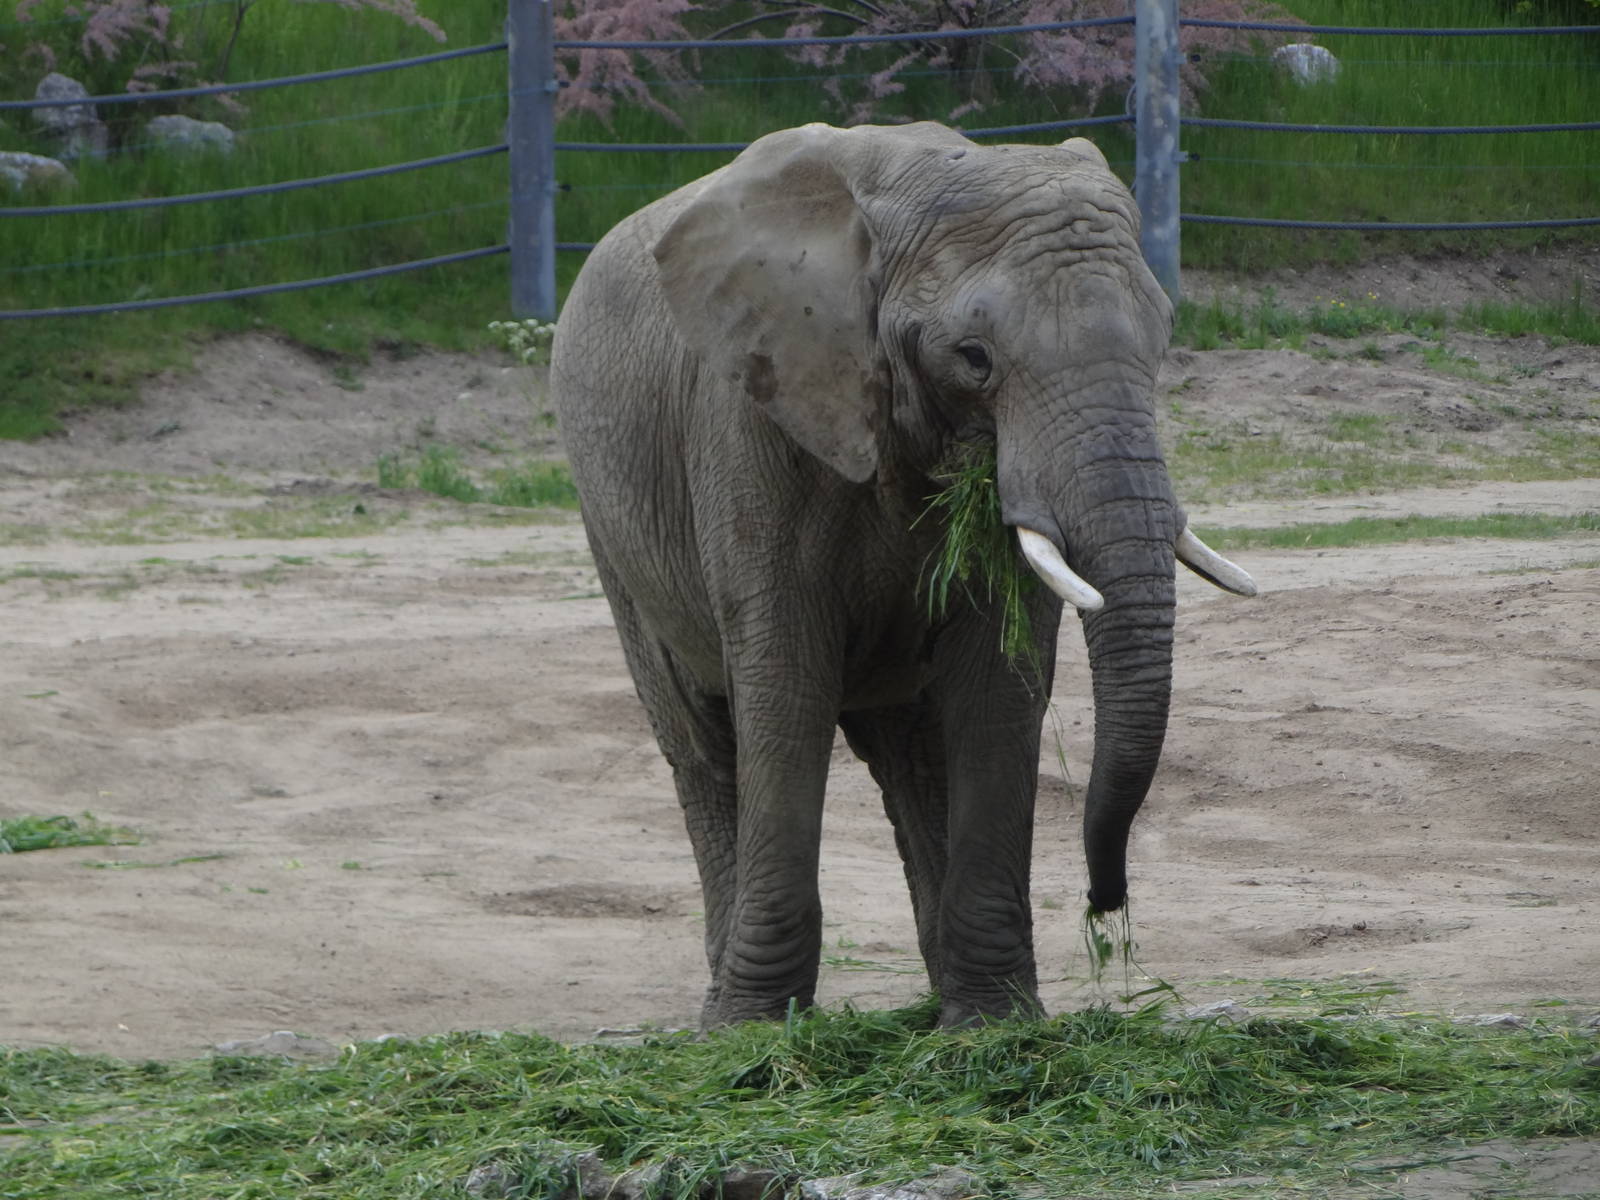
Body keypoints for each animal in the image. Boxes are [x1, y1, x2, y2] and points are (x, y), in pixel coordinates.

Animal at [550, 121, 1255, 1029]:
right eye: (974, 357)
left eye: (1164, 339)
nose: (1105, 903)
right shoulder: (747, 421)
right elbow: (784, 681)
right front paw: (757, 1029)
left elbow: (998, 688)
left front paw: (994, 1026)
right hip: (610, 526)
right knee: (702, 744)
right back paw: (719, 1012)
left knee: (912, 759)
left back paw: (940, 997)